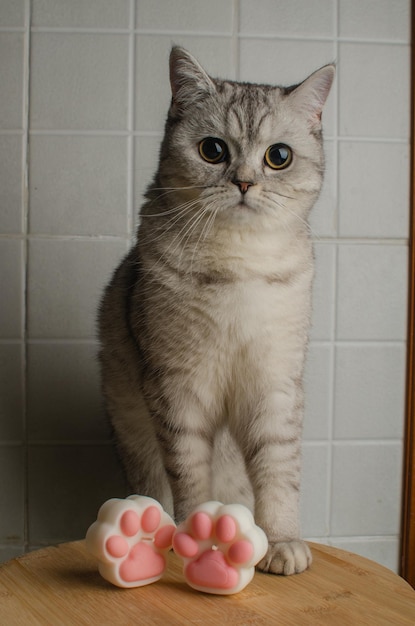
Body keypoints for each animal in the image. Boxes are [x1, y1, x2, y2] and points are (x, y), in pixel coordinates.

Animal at [99, 47, 336, 576]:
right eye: (213, 150)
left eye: (278, 157)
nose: (244, 182)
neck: (238, 261)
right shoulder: (177, 387)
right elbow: (189, 474)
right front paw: (196, 532)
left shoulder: (275, 384)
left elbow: (279, 471)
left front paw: (282, 540)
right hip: (134, 439)